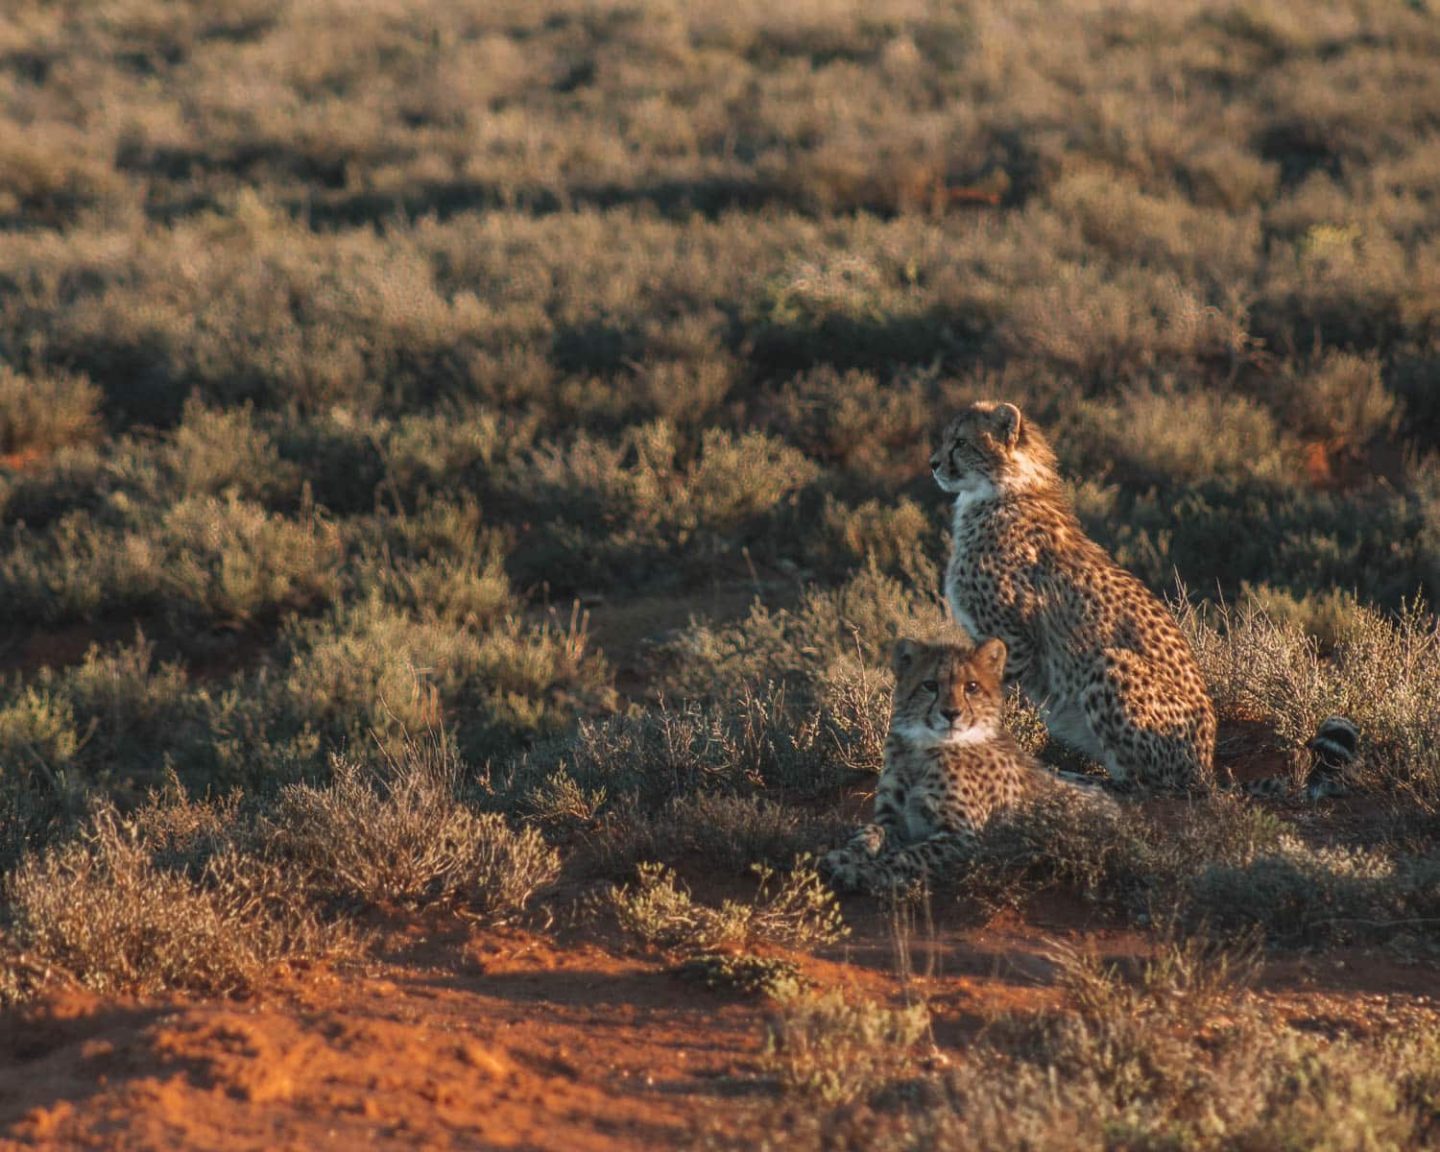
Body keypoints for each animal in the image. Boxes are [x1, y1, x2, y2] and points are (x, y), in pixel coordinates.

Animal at [823, 639, 1111, 892]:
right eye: (930, 685)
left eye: (971, 687)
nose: (951, 714)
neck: (923, 750)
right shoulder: (894, 820)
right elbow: (871, 832)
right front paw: (845, 856)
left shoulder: (965, 838)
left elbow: (910, 856)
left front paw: (865, 871)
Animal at [933, 403, 1215, 794]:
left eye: (960, 442)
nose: (933, 463)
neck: (1003, 491)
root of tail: (1206, 768)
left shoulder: (1014, 640)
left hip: (1110, 663)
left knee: (1141, 784)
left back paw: (1074, 777)